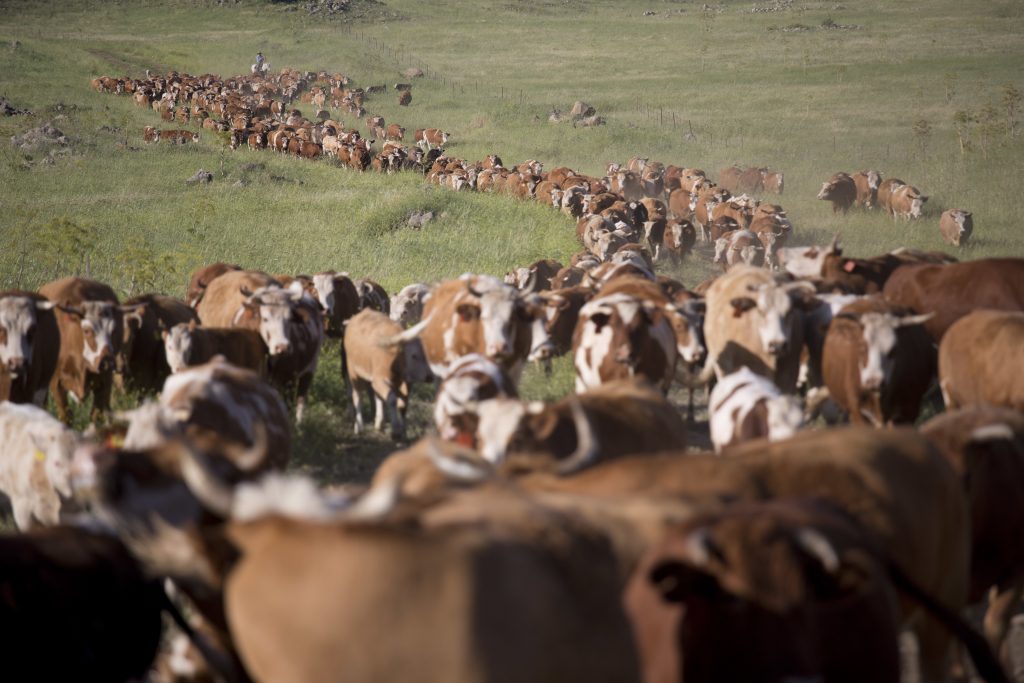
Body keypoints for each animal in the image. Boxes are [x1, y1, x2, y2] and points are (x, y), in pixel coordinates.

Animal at [38, 276, 136, 421]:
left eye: (113, 330)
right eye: (87, 330)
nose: (107, 362)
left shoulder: (104, 383)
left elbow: (96, 416)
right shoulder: (56, 384)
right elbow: (65, 416)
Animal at [344, 309, 407, 438]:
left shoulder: (399, 380)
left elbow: (402, 403)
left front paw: (401, 429)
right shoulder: (380, 379)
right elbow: (392, 400)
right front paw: (396, 429)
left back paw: (378, 423)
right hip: (354, 374)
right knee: (357, 396)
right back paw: (359, 427)